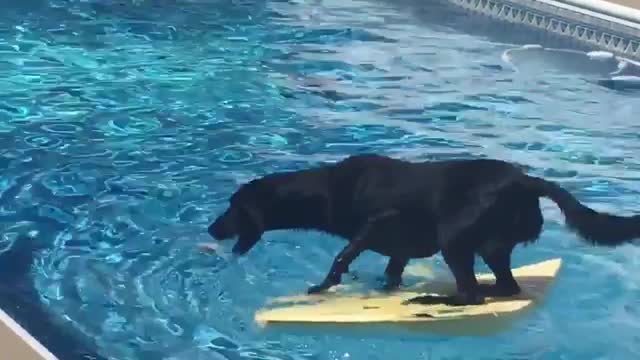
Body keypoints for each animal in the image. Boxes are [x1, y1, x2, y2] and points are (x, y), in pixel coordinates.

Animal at [208, 153, 636, 306]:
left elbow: (344, 254)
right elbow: (391, 271)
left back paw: (433, 300)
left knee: (470, 295)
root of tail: (528, 182)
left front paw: (324, 286)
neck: (328, 188)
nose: (211, 229)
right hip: (491, 248)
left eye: (232, 207)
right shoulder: (398, 250)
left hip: (454, 239)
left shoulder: (379, 221)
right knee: (503, 288)